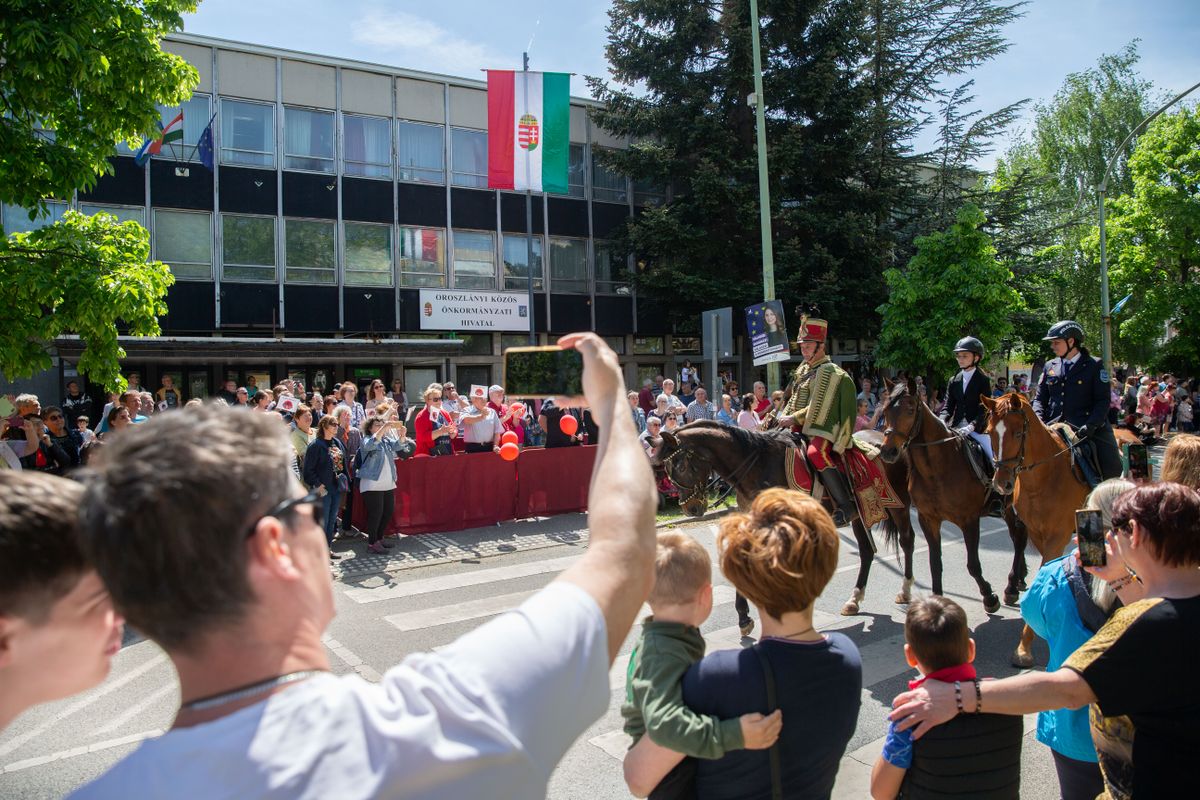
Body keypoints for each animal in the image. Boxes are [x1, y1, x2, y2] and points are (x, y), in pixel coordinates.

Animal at [652, 419, 912, 633]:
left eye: (680, 466)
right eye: (667, 470)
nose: (691, 508)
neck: (757, 465)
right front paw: (744, 618)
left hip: (899, 506)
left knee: (906, 540)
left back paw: (905, 590)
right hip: (859, 514)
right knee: (867, 552)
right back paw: (854, 599)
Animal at [873, 383, 1032, 618]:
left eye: (910, 410)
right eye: (884, 411)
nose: (888, 451)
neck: (936, 469)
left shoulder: (969, 520)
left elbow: (973, 564)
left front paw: (989, 598)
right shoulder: (928, 520)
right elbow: (935, 563)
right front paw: (937, 604)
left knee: (1019, 538)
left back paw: (1011, 587)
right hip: (1008, 508)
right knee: (1017, 536)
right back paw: (1019, 580)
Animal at [984, 391, 1089, 666]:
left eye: (1018, 433)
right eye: (990, 432)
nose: (1002, 483)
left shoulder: (1057, 537)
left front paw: (1024, 649)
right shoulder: (1037, 534)